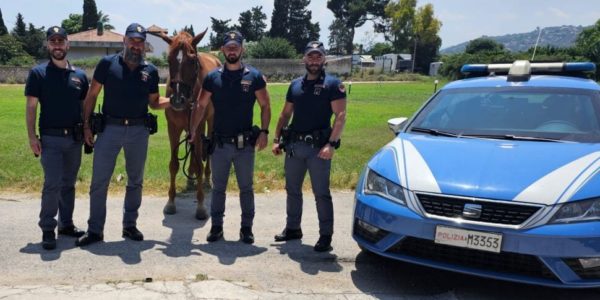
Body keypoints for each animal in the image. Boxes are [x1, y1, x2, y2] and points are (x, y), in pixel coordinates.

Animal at [151, 29, 221, 219]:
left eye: (192, 60)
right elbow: (174, 164)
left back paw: (207, 179)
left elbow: (200, 162)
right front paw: (171, 202)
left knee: (206, 152)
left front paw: (201, 205)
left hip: (210, 121)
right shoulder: (173, 128)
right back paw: (190, 177)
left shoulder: (198, 126)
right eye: (169, 60)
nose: (177, 99)